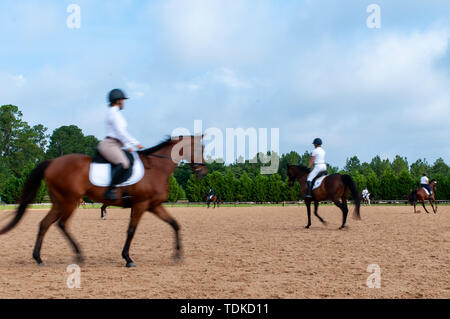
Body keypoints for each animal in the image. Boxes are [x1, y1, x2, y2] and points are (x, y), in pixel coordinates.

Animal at [0, 135, 207, 268]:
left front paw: (178, 254)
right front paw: (128, 259)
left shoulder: (153, 205)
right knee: (61, 224)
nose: (203, 172)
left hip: (60, 202)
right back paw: (78, 254)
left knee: (45, 224)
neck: (156, 168)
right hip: (69, 201)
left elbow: (175, 224)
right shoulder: (140, 205)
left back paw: (39, 258)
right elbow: (131, 231)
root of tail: (52, 162)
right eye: (200, 149)